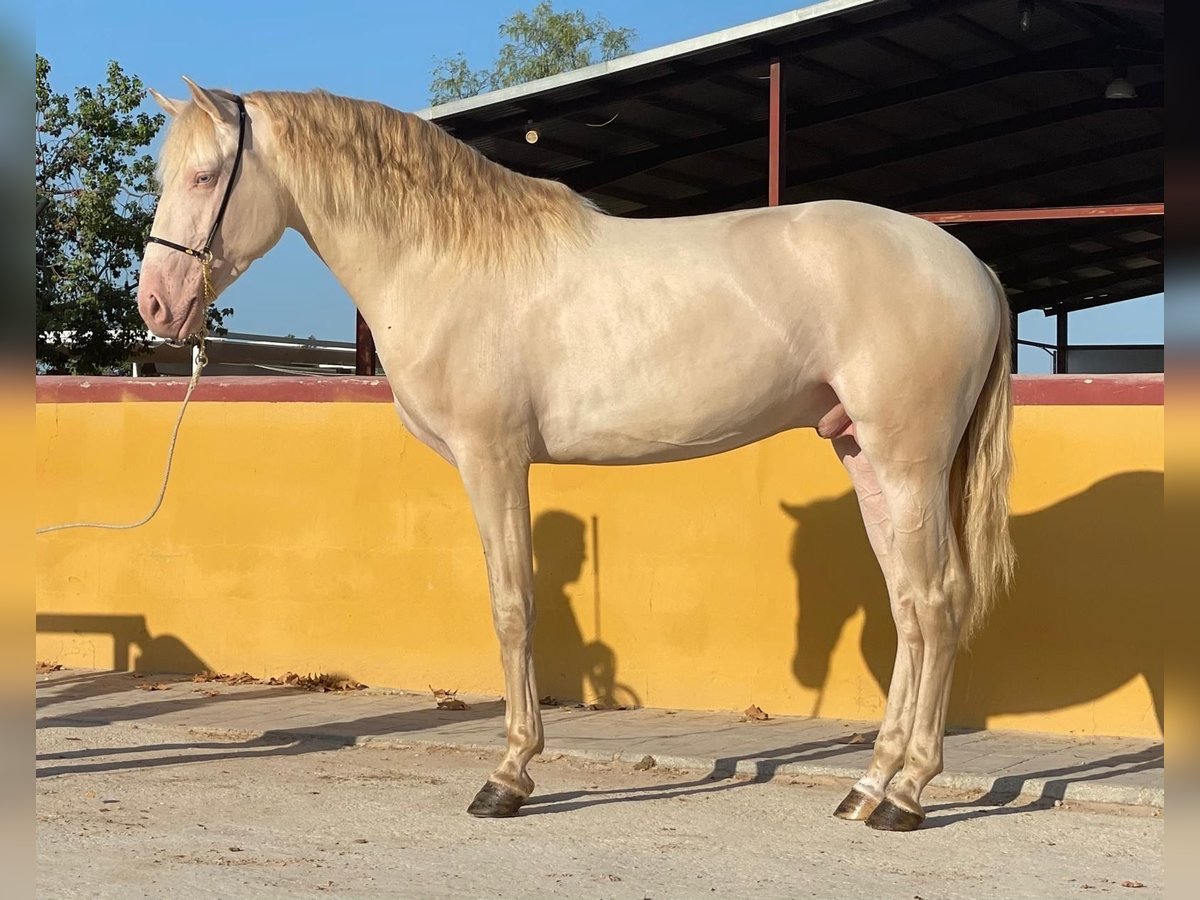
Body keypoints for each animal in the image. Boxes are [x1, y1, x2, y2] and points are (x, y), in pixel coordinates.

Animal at [136, 81, 1012, 835]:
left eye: (206, 175)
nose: (156, 304)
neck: (445, 259)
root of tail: (969, 265)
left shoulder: (493, 459)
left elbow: (513, 607)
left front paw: (509, 777)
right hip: (864, 456)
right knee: (907, 606)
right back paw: (869, 785)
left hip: (907, 464)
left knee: (936, 602)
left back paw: (907, 794)